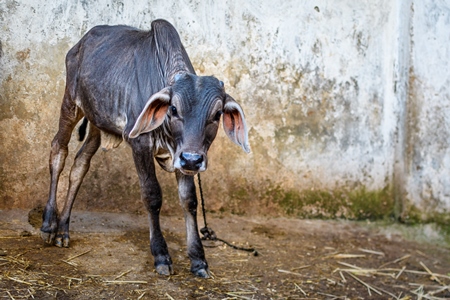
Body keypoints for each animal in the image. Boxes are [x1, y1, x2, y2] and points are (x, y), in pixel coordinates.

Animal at [39, 18, 250, 278]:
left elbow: (189, 200)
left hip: (97, 123)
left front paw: (198, 260)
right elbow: (152, 195)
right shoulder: (140, 144)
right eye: (173, 109)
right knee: (58, 151)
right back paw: (49, 224)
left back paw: (63, 230)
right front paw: (161, 255)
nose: (193, 159)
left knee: (80, 165)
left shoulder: (181, 157)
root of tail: (80, 44)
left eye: (217, 114)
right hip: (70, 104)